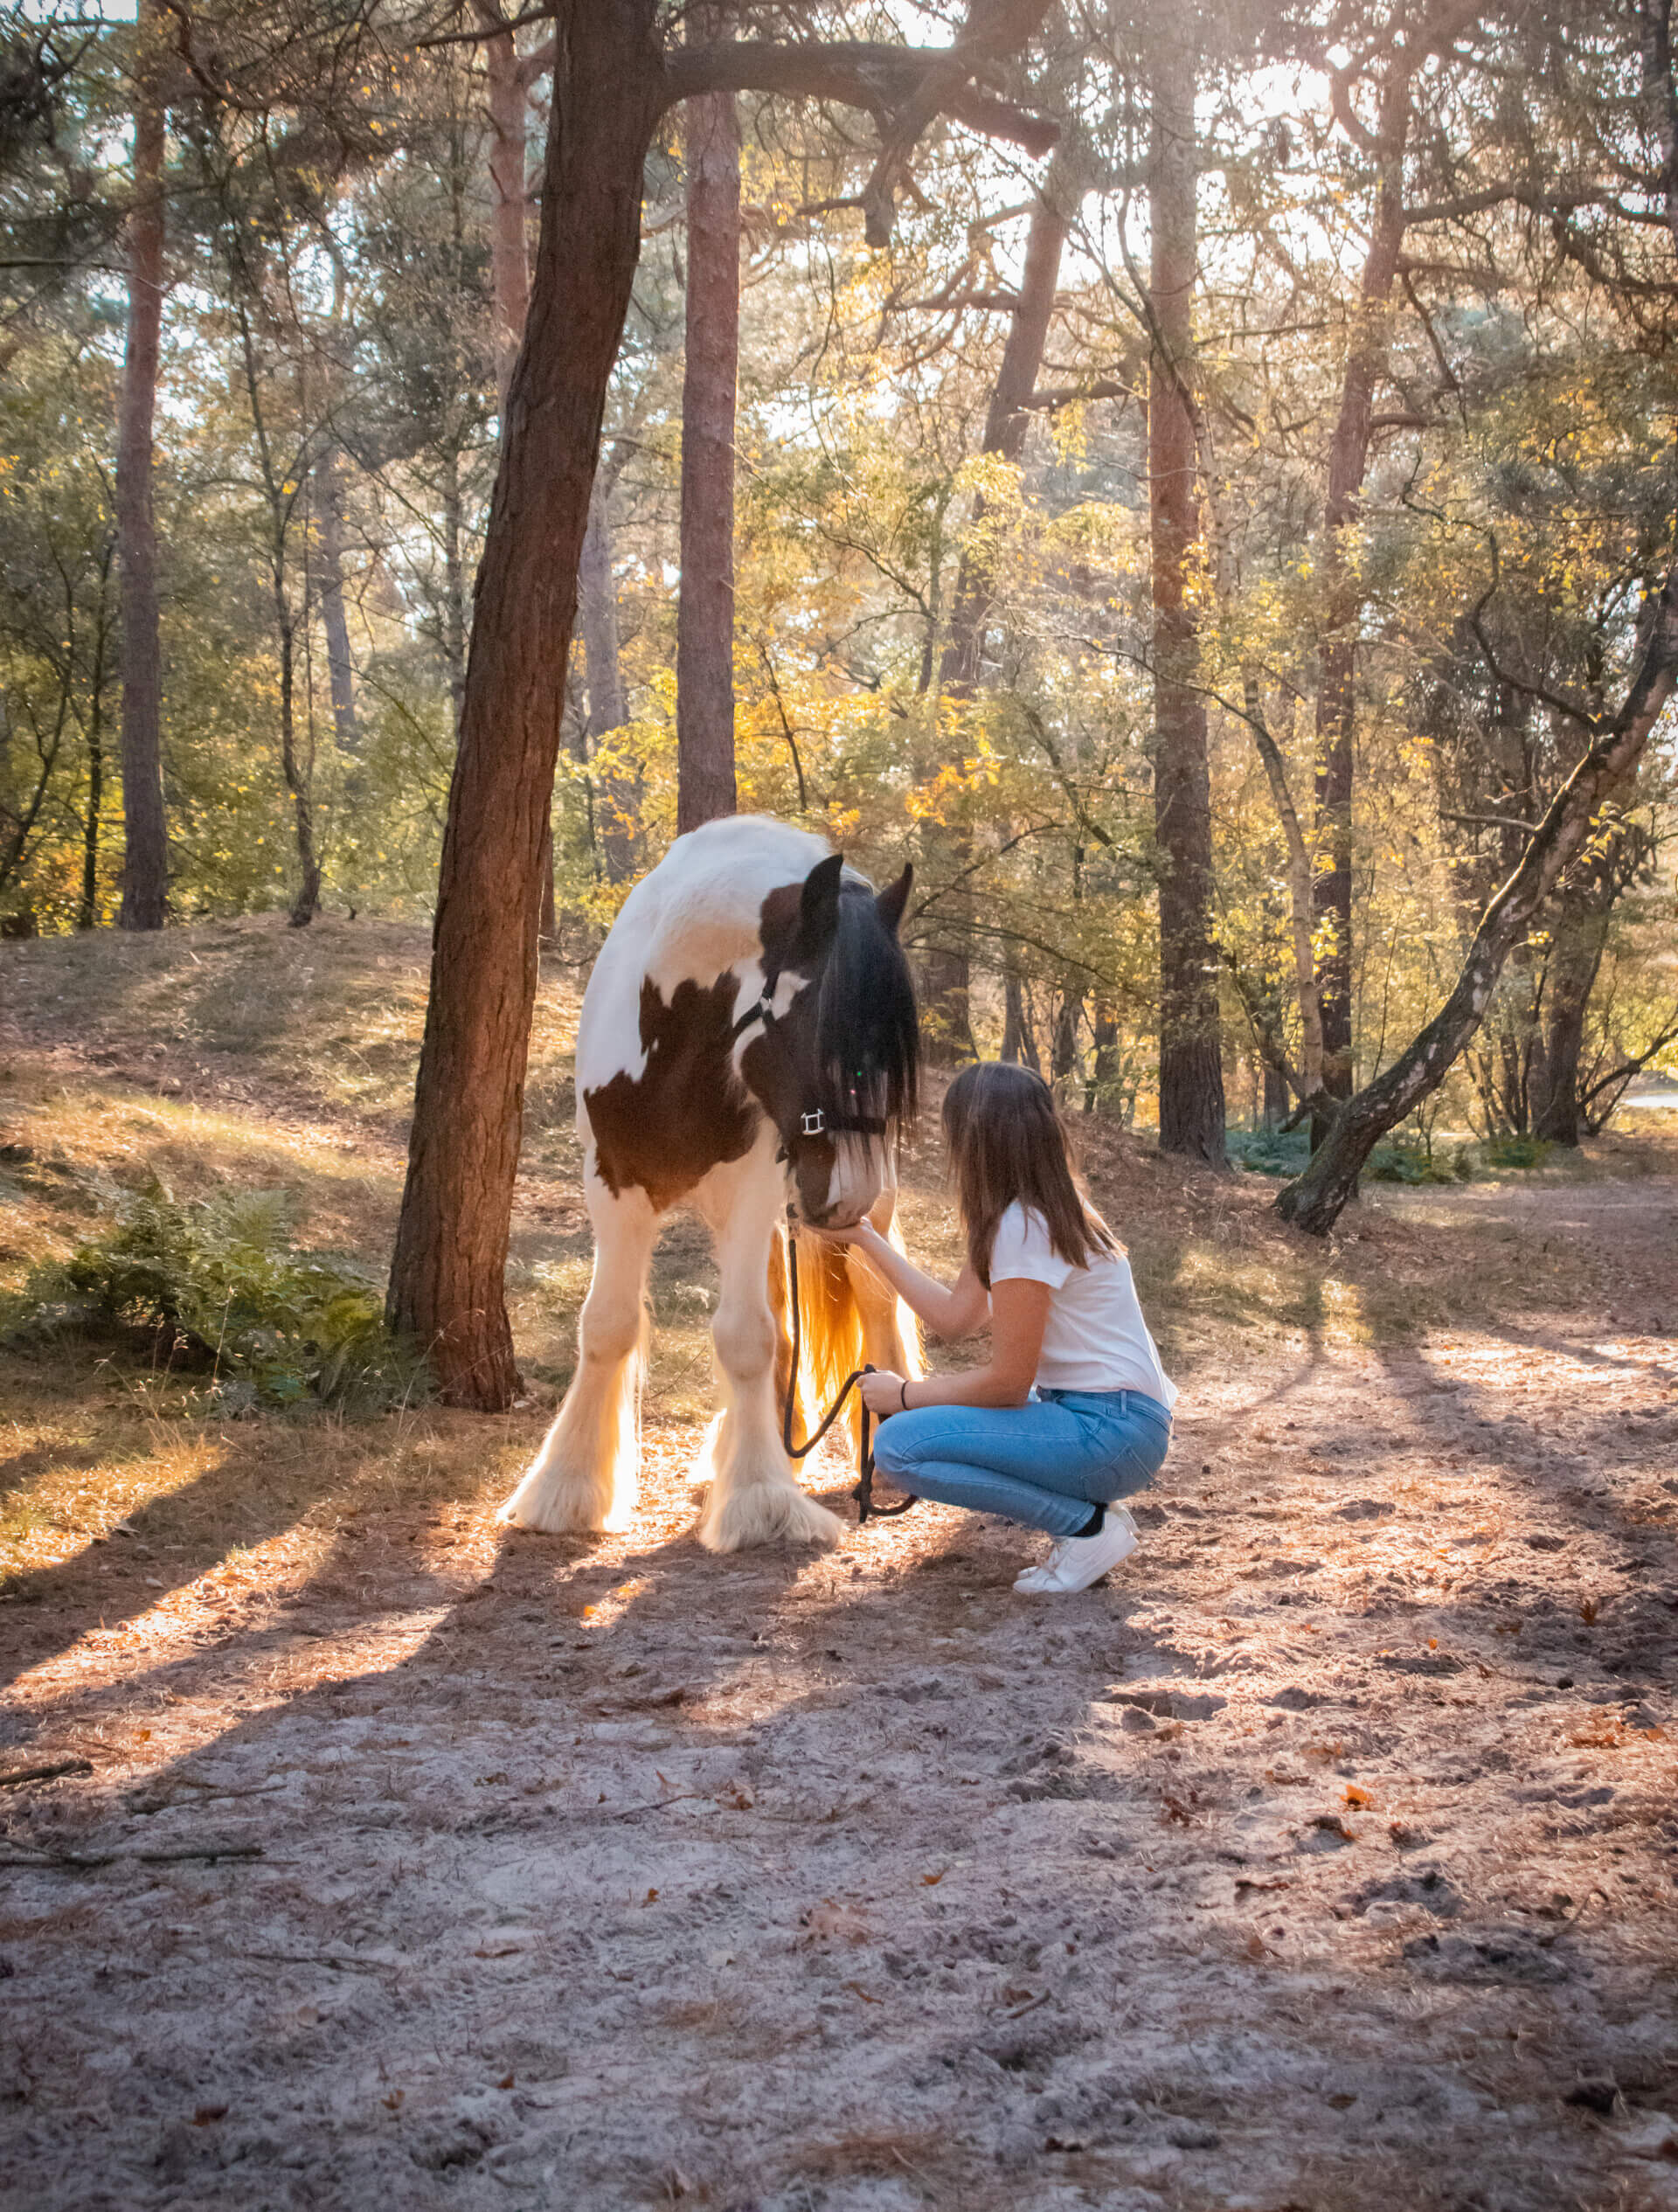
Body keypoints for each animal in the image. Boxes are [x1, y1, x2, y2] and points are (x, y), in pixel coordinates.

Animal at [502, 814, 919, 1557]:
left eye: (892, 1058)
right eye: (823, 1032)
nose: (846, 1197)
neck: (674, 1047)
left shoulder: (755, 1189)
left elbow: (746, 1336)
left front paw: (759, 1501)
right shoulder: (613, 1184)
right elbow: (607, 1324)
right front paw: (567, 1488)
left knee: (872, 1293)